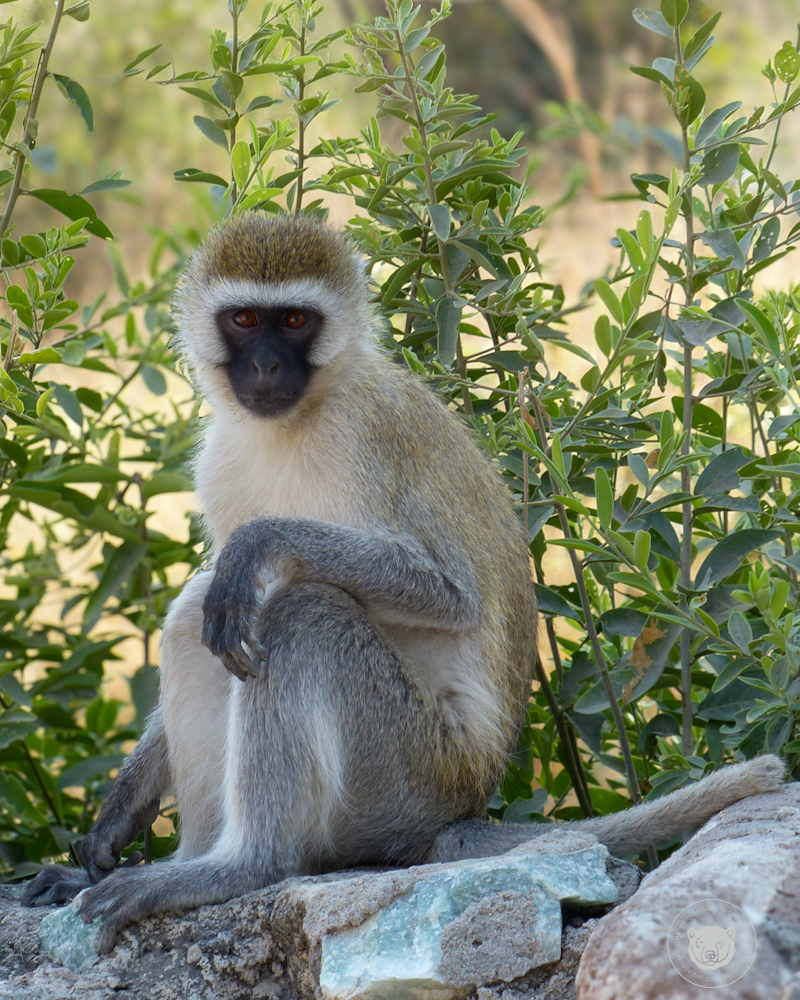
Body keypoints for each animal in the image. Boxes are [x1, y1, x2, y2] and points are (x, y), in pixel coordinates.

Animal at [21, 213, 786, 954]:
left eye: (294, 321)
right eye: (243, 320)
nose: (265, 364)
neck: (303, 415)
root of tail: (465, 801)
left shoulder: (371, 434)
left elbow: (446, 594)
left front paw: (264, 542)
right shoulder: (220, 459)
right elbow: (218, 599)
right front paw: (123, 807)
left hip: (408, 775)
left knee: (297, 613)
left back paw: (239, 867)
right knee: (200, 617)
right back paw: (186, 860)